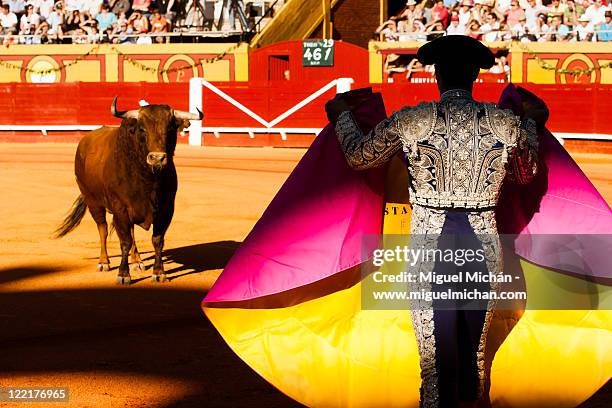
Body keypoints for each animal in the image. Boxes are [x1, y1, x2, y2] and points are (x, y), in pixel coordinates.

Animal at [53, 98, 201, 284]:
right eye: (142, 129)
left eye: (170, 128)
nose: (157, 158)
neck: (147, 179)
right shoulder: (120, 208)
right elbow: (124, 241)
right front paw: (123, 274)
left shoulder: (166, 209)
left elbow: (157, 240)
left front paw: (159, 272)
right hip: (93, 201)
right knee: (102, 229)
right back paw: (104, 262)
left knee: (130, 232)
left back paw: (137, 261)